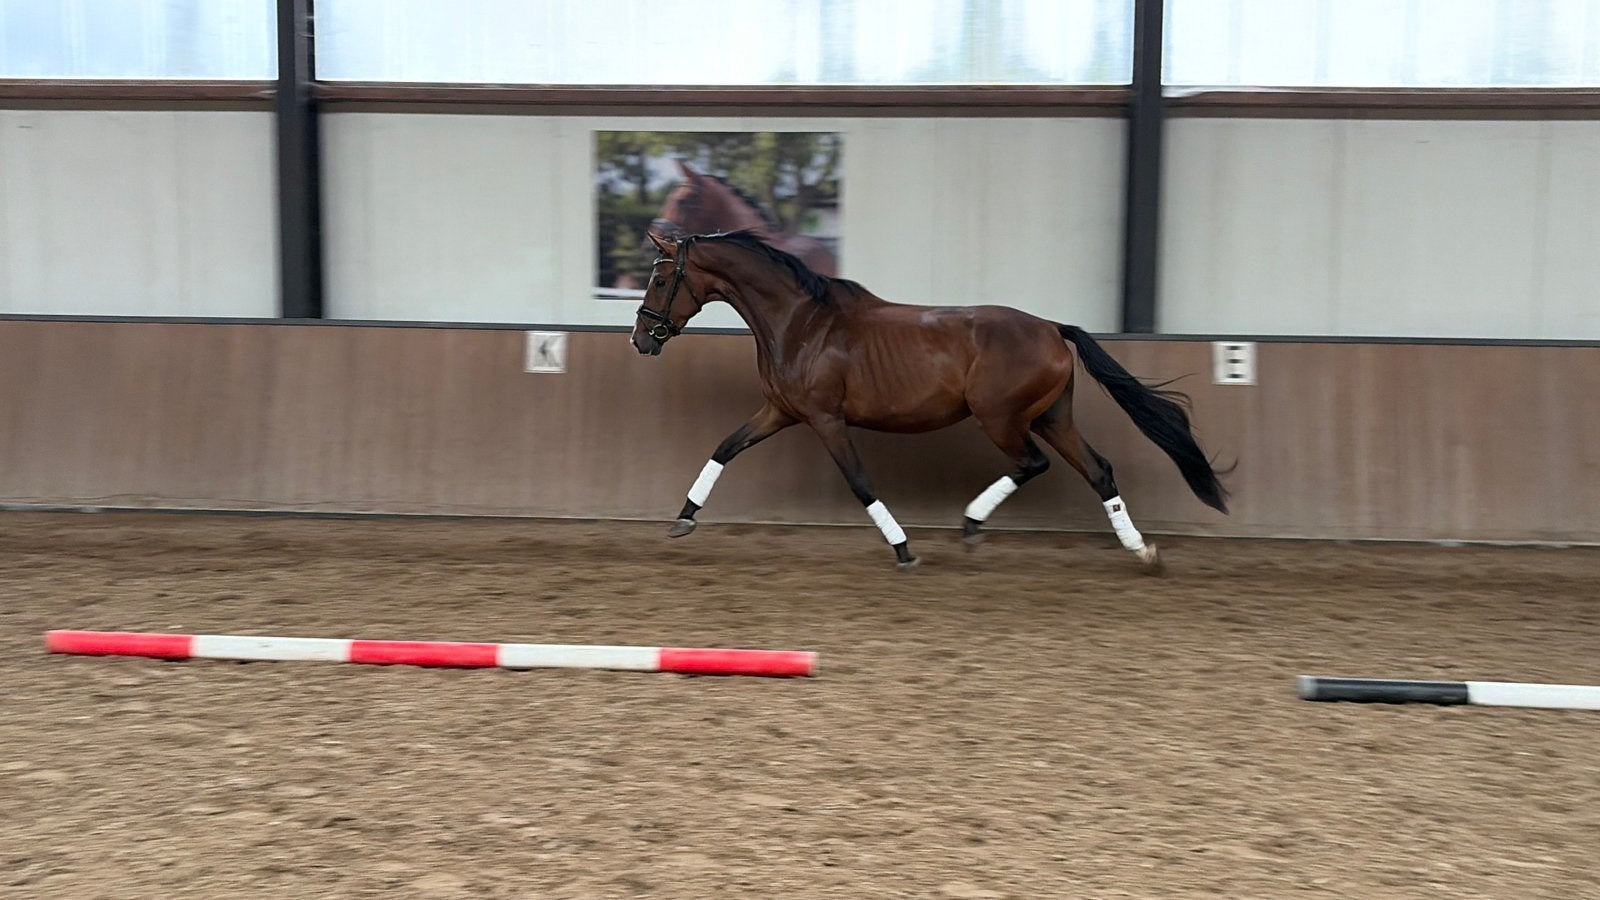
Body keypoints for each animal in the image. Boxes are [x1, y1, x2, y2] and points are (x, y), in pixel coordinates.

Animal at [629, 229, 1230, 572]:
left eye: (659, 279)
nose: (641, 340)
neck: (799, 322)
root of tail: (1053, 329)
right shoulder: (781, 411)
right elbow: (724, 448)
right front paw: (683, 519)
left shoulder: (825, 419)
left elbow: (860, 482)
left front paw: (903, 550)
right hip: (1052, 417)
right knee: (1099, 470)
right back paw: (1141, 551)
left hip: (1001, 418)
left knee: (1032, 464)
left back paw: (972, 524)